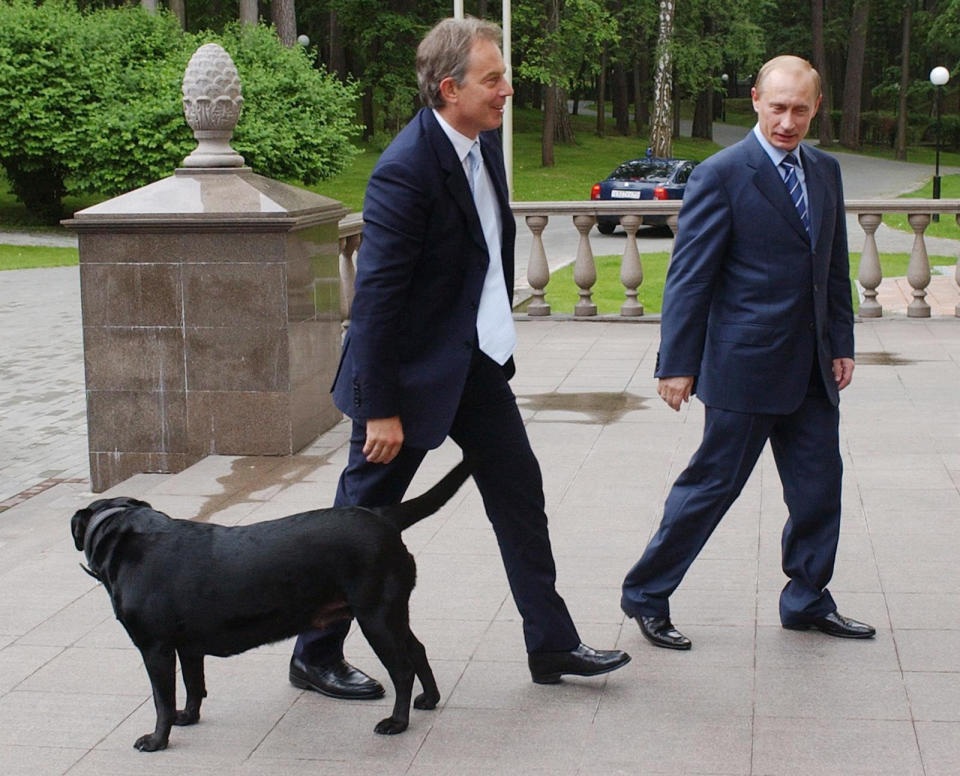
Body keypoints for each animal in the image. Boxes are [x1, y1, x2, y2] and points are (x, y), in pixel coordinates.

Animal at [70, 460, 468, 752]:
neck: (124, 533)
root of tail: (383, 516)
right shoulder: (188, 647)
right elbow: (194, 684)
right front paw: (189, 717)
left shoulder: (155, 648)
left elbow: (162, 699)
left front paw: (157, 740)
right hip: (391, 612)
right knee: (417, 649)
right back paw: (429, 699)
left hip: (375, 616)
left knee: (402, 668)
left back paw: (397, 723)